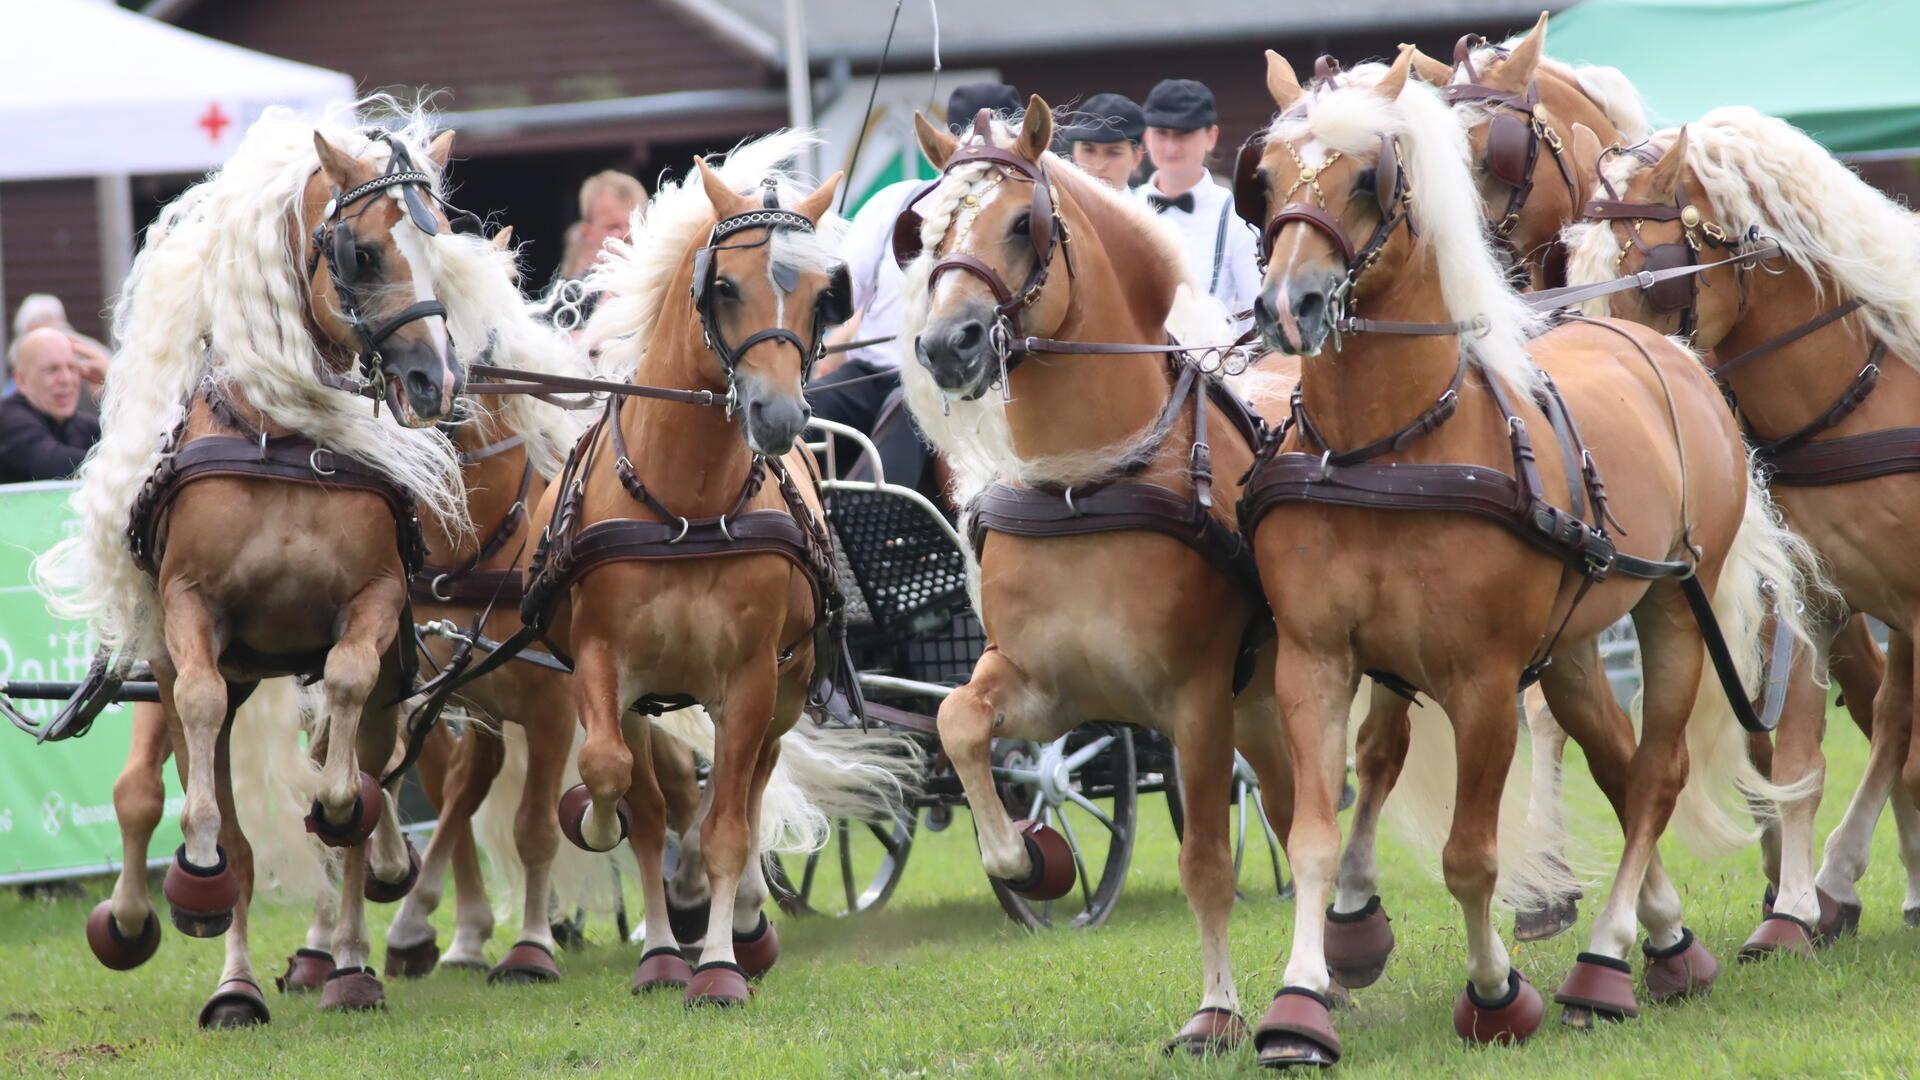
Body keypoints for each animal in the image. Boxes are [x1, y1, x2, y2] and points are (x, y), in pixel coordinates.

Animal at [45, 102, 499, 1022]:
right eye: (364, 252)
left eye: (441, 248)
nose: (434, 383)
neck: (282, 441)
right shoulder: (191, 619)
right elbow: (211, 775)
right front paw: (201, 888)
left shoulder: (373, 606)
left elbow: (349, 731)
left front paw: (344, 820)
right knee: (201, 796)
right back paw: (228, 972)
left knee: (364, 782)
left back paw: (355, 957)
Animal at [1228, 50, 1812, 1060]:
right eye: (1262, 179)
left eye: (1369, 177)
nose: (1287, 303)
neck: (1386, 447)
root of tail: (1659, 347)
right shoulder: (1316, 661)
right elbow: (1312, 833)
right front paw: (1300, 1000)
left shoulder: (1484, 682)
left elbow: (1471, 857)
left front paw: (1497, 994)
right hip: (1574, 638)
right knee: (1614, 756)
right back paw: (1669, 944)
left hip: (1672, 605)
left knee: (1654, 775)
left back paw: (1608, 963)